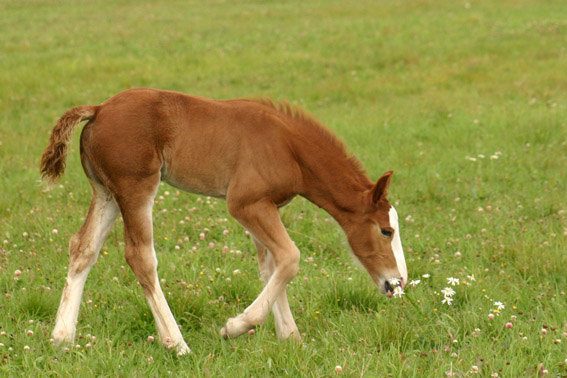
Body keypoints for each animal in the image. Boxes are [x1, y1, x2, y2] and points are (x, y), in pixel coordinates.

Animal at [42, 88, 410, 354]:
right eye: (386, 230)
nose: (398, 282)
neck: (288, 148)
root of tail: (99, 109)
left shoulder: (264, 207)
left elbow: (272, 266)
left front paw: (291, 338)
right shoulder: (245, 204)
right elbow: (290, 259)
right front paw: (236, 327)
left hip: (106, 192)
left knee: (83, 248)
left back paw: (62, 338)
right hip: (136, 188)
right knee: (140, 257)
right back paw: (177, 344)